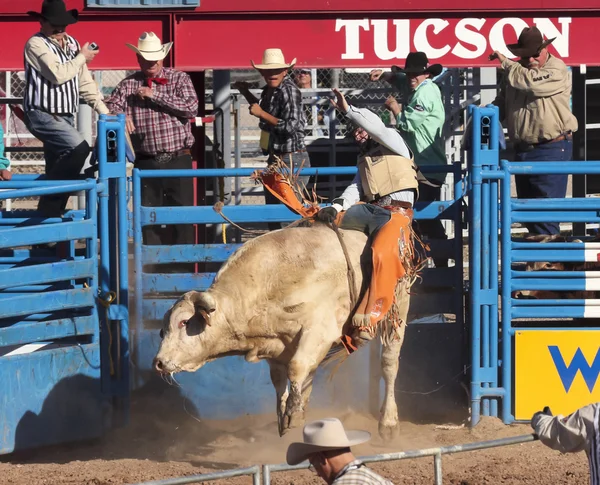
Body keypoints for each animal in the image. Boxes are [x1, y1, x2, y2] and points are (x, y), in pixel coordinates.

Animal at [152, 219, 420, 438]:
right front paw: (286, 413)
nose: (159, 362)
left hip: (397, 311)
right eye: (162, 330)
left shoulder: (319, 330)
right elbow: (281, 379)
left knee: (389, 364)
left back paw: (388, 423)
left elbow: (297, 367)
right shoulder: (277, 347)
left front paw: (292, 411)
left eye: (184, 322)